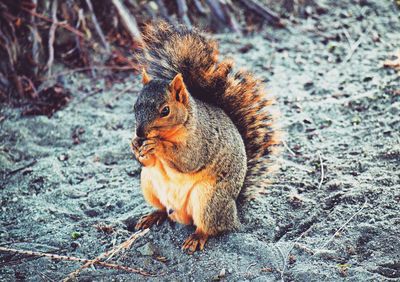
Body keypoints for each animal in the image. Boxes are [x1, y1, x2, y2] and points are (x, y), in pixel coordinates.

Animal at [130, 20, 278, 252]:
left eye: (165, 110)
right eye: (135, 106)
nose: (140, 133)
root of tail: (234, 211)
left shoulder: (203, 141)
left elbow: (189, 160)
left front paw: (156, 145)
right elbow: (149, 162)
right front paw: (136, 146)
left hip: (209, 200)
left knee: (211, 227)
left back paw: (196, 238)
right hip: (148, 184)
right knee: (164, 210)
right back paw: (153, 216)